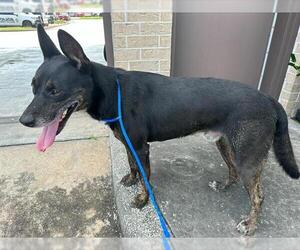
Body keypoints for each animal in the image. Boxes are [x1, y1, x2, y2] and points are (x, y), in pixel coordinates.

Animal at [19, 24, 298, 235]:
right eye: (33, 87)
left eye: (54, 90)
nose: (24, 120)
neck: (112, 90)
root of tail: (269, 99)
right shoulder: (130, 145)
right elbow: (133, 166)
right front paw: (132, 180)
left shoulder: (142, 148)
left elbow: (146, 177)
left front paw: (143, 199)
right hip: (226, 144)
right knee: (233, 172)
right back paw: (224, 186)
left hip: (248, 157)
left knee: (258, 196)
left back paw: (250, 225)